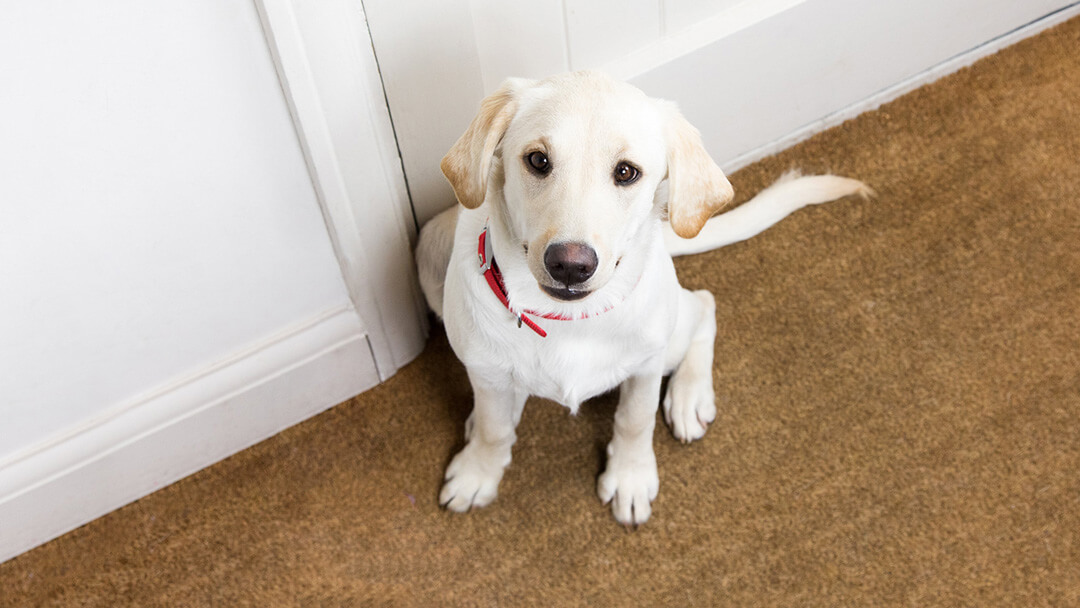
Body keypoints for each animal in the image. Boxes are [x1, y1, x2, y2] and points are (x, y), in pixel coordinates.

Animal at [412, 71, 868, 524]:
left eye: (627, 172)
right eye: (538, 160)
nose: (570, 265)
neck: (566, 320)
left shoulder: (646, 366)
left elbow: (635, 419)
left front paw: (630, 477)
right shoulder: (485, 369)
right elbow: (494, 428)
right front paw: (478, 472)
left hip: (670, 335)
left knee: (703, 304)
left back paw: (689, 396)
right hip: (429, 249)